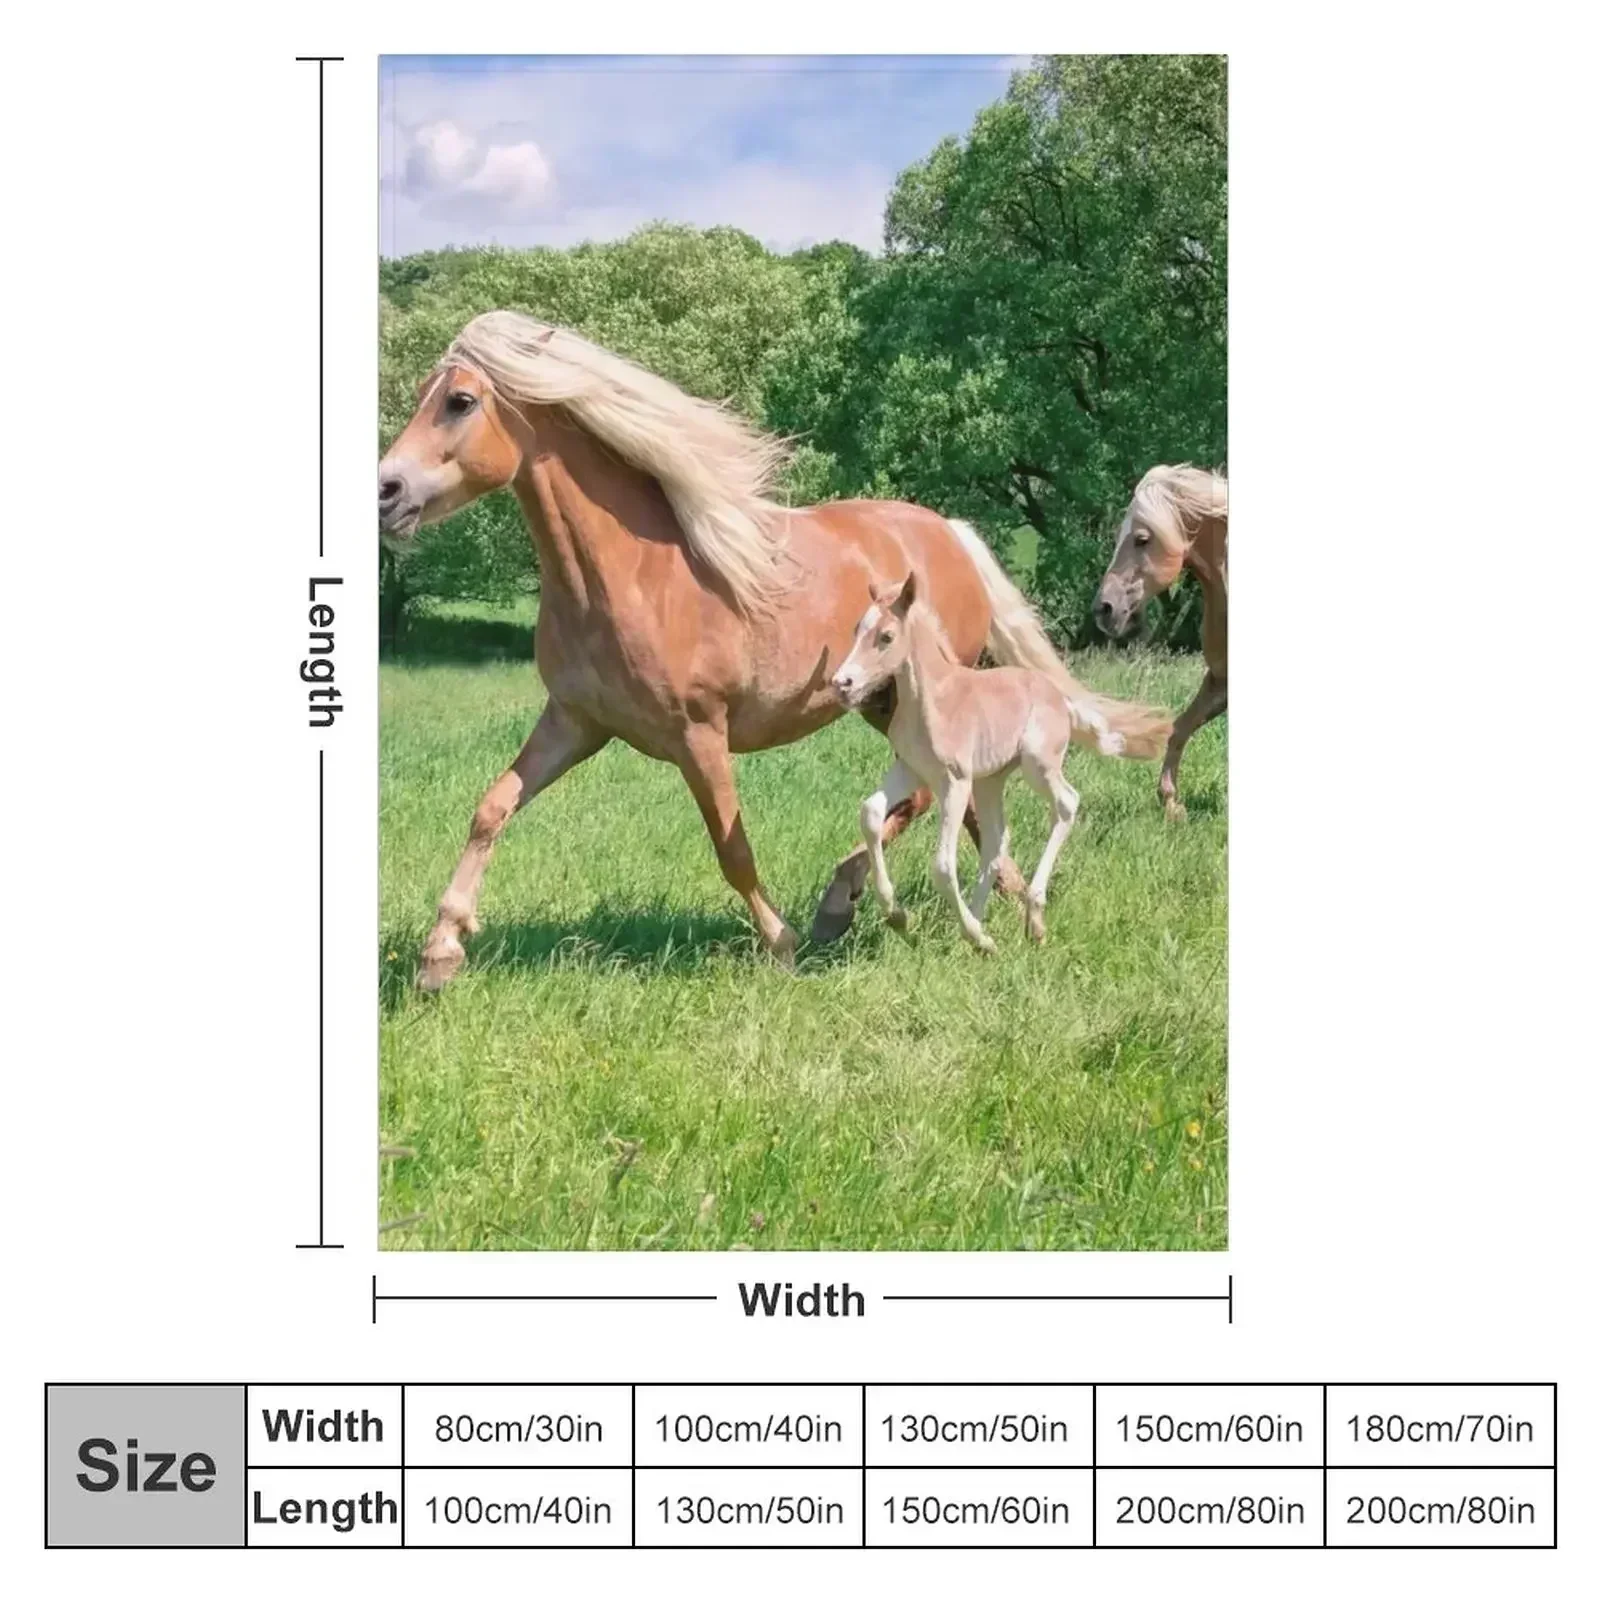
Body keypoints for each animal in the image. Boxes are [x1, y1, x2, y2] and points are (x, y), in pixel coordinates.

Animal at [831, 571, 1090, 954]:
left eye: (887, 636)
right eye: (856, 629)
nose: (841, 683)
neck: (931, 700)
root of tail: (1056, 694)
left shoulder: (954, 781)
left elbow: (942, 865)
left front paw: (972, 935)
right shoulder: (911, 769)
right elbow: (871, 813)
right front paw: (897, 915)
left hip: (1037, 765)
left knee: (1067, 803)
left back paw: (1030, 918)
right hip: (990, 780)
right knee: (997, 839)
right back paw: (981, 925)